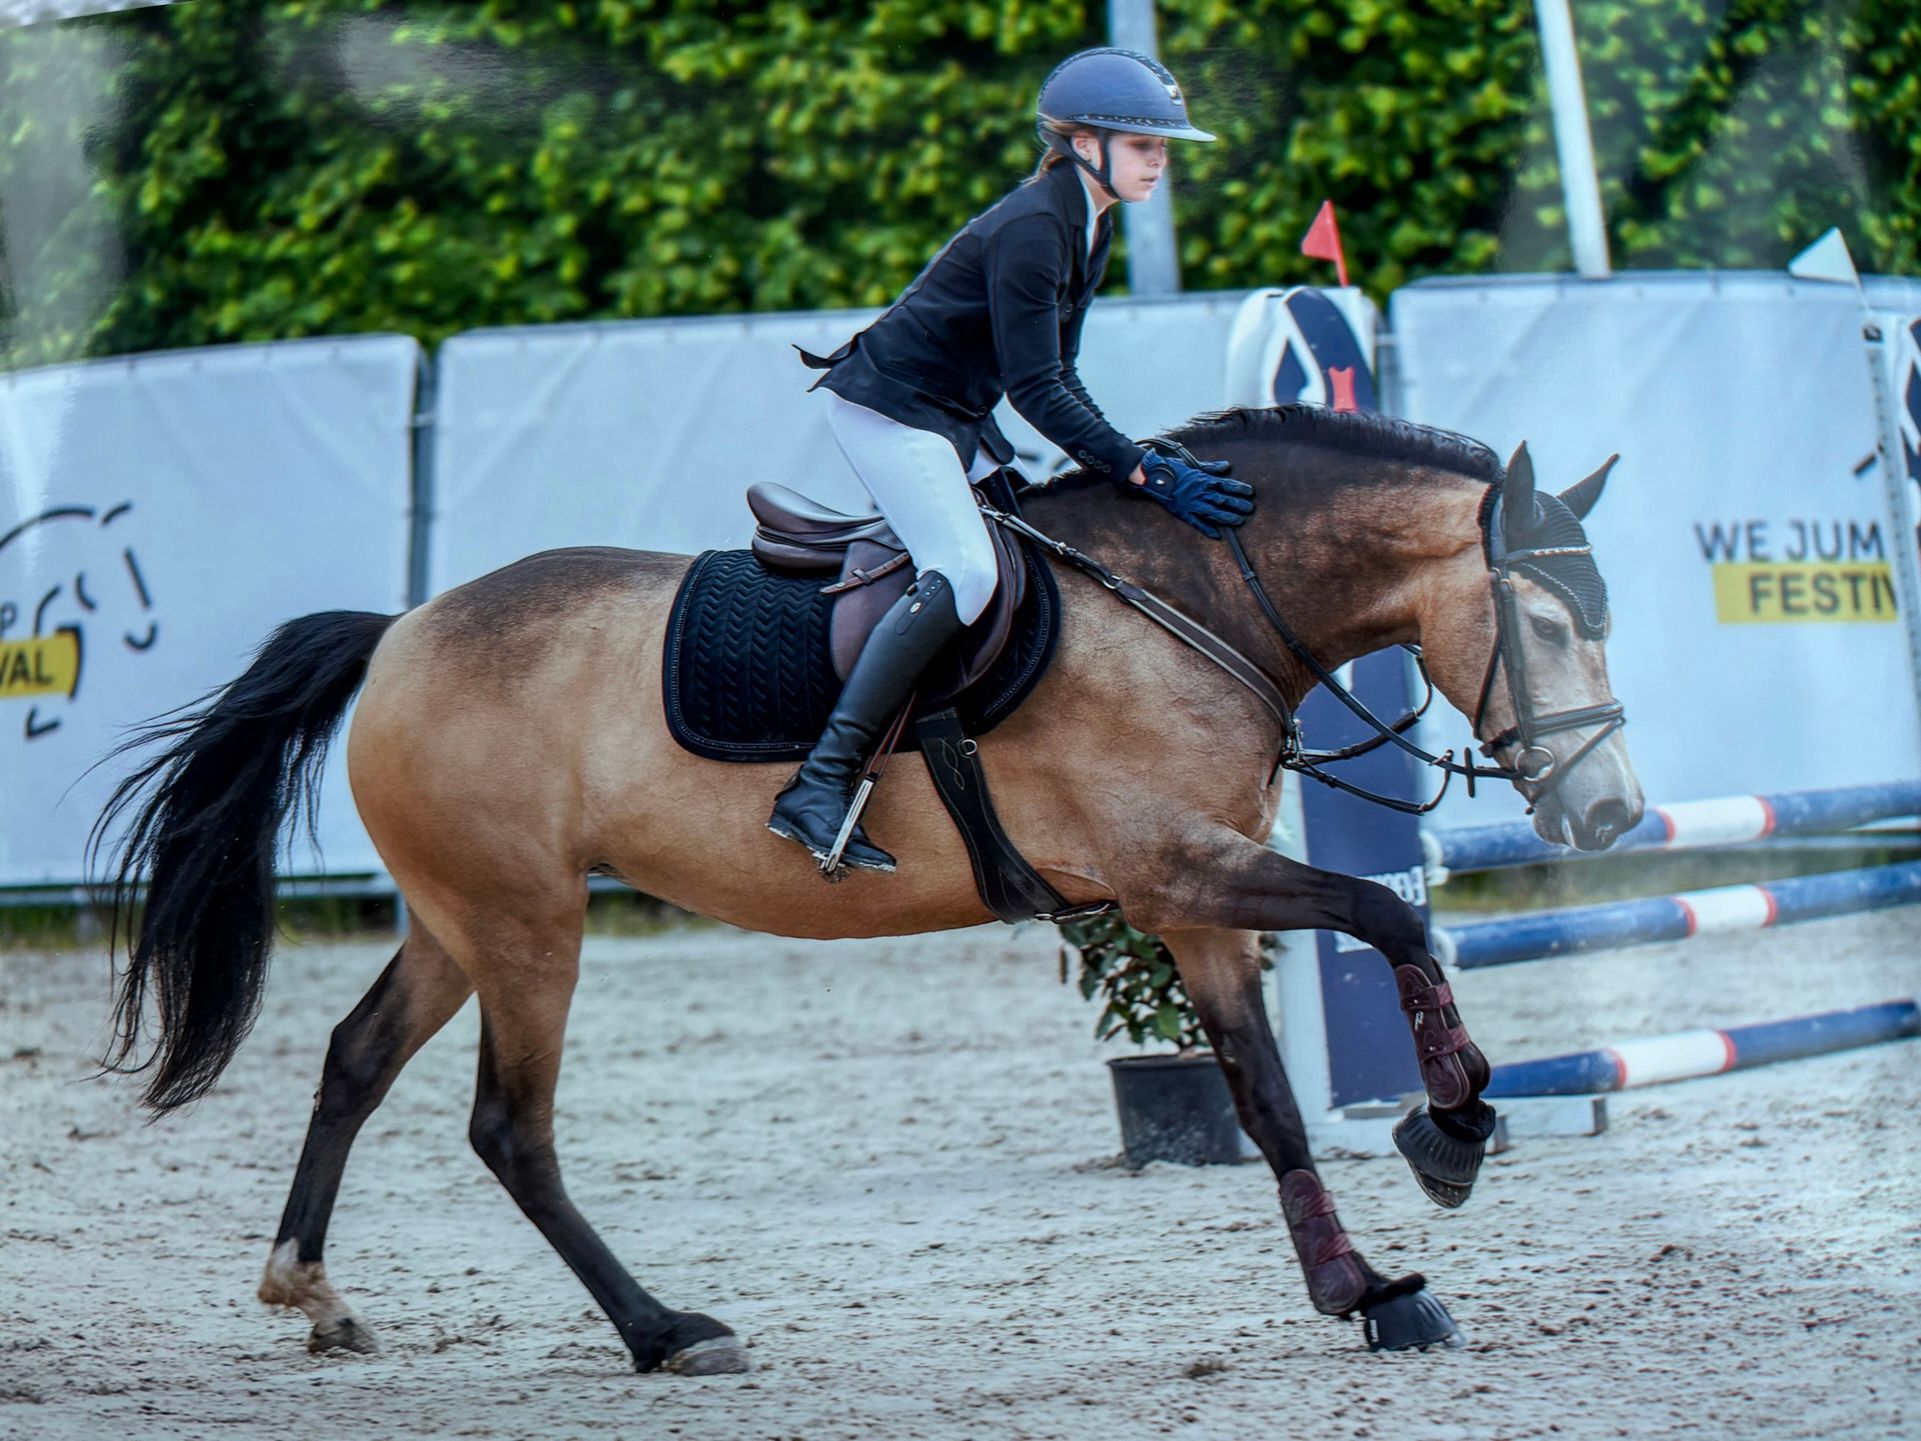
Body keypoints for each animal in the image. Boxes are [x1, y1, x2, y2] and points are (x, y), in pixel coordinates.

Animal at [93, 403, 1642, 1373]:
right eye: (1546, 620)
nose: (1610, 811)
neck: (1189, 600)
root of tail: (402, 627)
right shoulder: (1183, 868)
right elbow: (1393, 914)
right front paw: (1452, 1131)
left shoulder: (1194, 905)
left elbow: (1265, 1104)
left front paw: (1362, 1291)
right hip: (529, 927)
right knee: (508, 1130)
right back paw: (666, 1333)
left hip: (458, 919)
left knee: (355, 1060)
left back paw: (313, 1293)